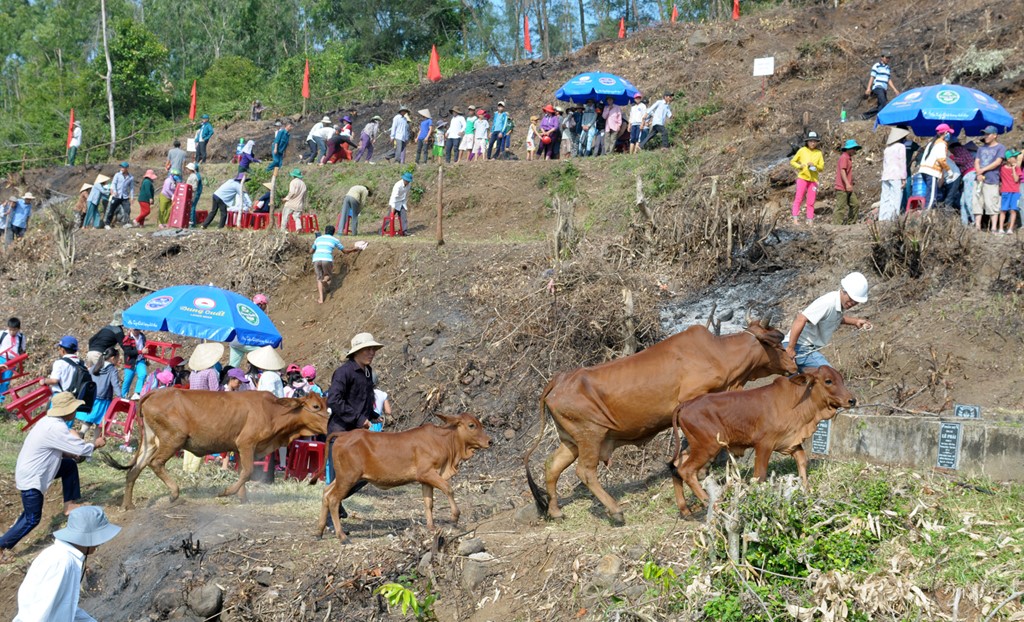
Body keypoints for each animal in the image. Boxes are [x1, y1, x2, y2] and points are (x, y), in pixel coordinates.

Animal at [101, 391, 325, 508]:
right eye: (316, 406)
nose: (328, 423)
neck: (272, 412)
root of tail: (156, 392)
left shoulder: (240, 449)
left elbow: (242, 472)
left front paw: (242, 498)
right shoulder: (246, 444)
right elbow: (248, 472)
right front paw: (226, 492)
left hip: (150, 441)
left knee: (134, 470)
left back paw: (128, 505)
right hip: (173, 439)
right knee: (155, 463)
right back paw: (173, 493)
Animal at [319, 416, 491, 541]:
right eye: (471, 425)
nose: (490, 441)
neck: (443, 442)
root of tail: (344, 434)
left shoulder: (425, 480)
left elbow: (428, 503)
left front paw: (431, 527)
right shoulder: (427, 473)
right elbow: (449, 489)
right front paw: (455, 517)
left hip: (343, 478)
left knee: (326, 493)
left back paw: (319, 531)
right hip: (349, 478)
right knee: (333, 499)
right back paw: (341, 536)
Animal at [524, 321, 794, 524]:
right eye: (778, 343)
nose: (793, 360)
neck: (718, 353)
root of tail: (561, 379)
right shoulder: (693, 398)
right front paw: (703, 468)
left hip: (572, 440)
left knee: (552, 466)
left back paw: (556, 511)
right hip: (591, 434)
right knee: (585, 471)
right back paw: (616, 510)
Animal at [671, 364, 856, 516]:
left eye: (841, 379)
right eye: (828, 381)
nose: (852, 400)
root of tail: (686, 404)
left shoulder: (792, 443)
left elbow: (802, 462)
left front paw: (807, 491)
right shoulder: (764, 444)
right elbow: (759, 476)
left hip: (695, 446)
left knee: (674, 466)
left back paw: (685, 510)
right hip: (708, 447)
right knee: (686, 470)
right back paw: (712, 505)